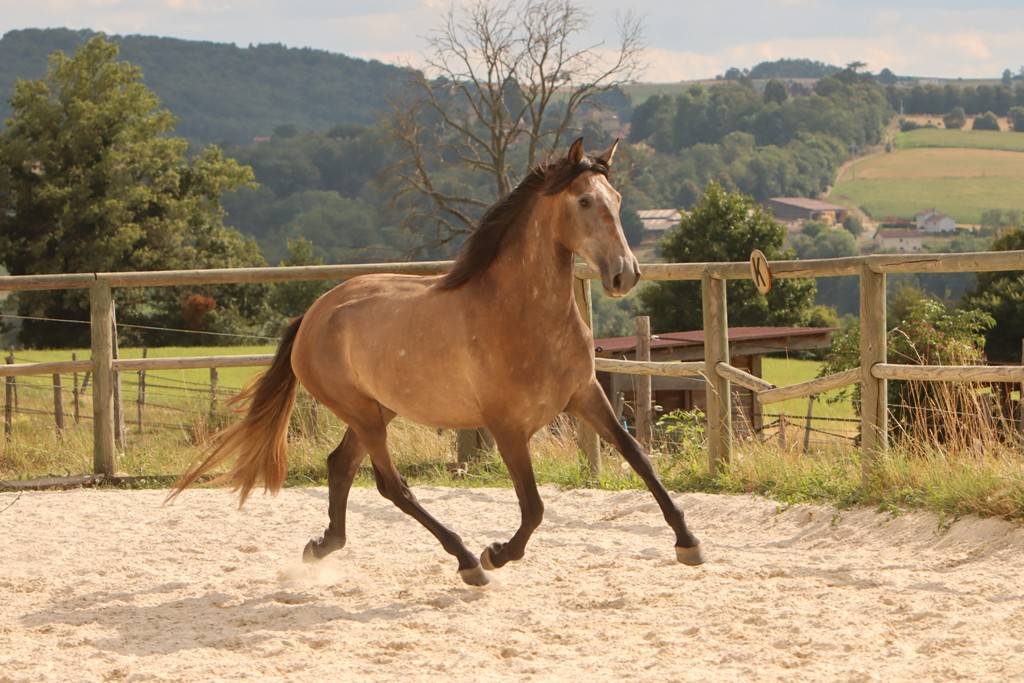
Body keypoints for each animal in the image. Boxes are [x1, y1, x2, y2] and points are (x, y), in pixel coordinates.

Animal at [170, 138, 704, 586]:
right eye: (584, 202)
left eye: (616, 197)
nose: (624, 275)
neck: (520, 313)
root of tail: (314, 314)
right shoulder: (507, 426)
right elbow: (534, 506)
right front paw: (497, 553)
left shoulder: (586, 396)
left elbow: (639, 459)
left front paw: (689, 543)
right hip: (363, 413)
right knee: (390, 485)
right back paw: (467, 561)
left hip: (378, 409)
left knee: (340, 465)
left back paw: (323, 547)